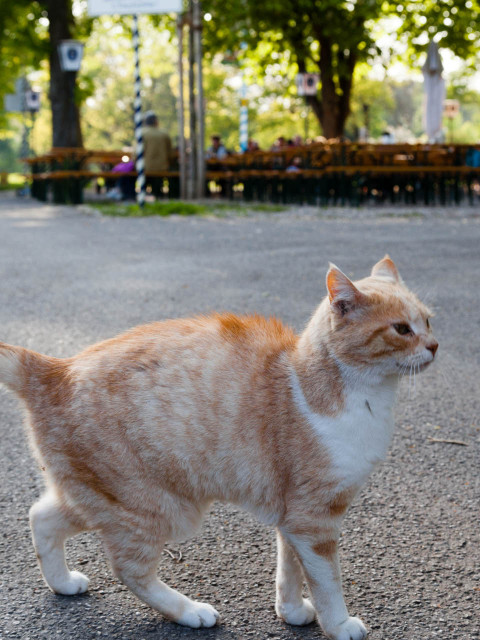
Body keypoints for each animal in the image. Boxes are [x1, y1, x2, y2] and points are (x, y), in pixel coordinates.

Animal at [0, 256, 436, 640]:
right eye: (401, 329)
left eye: (429, 320)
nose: (434, 345)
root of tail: (54, 368)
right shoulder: (315, 520)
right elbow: (328, 580)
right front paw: (340, 624)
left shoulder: (293, 518)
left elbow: (290, 571)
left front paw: (292, 611)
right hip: (159, 508)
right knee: (129, 570)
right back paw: (189, 611)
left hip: (101, 498)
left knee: (41, 516)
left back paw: (62, 582)